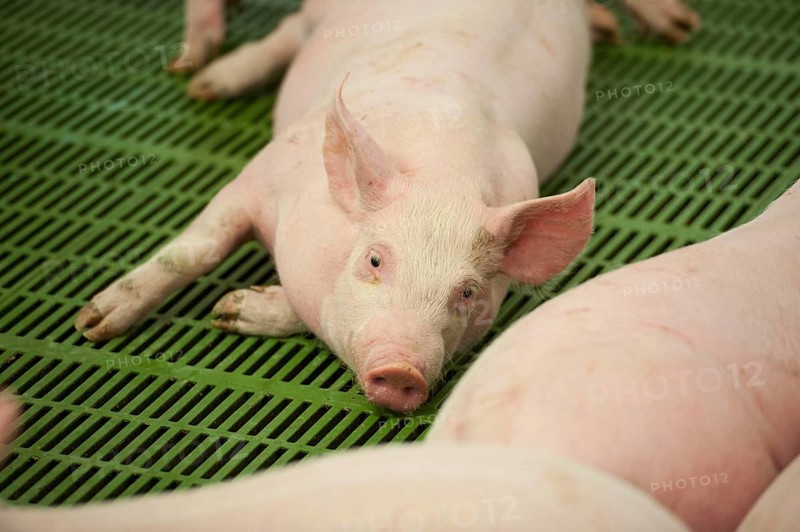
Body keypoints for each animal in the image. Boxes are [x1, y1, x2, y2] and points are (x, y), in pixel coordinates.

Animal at [75, 0, 699, 413]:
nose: (401, 371)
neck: (445, 170)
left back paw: (665, 28)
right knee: (287, 29)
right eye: (374, 260)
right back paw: (202, 78)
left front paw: (231, 309)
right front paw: (94, 324)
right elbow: (194, 252)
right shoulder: (260, 174)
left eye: (467, 292)